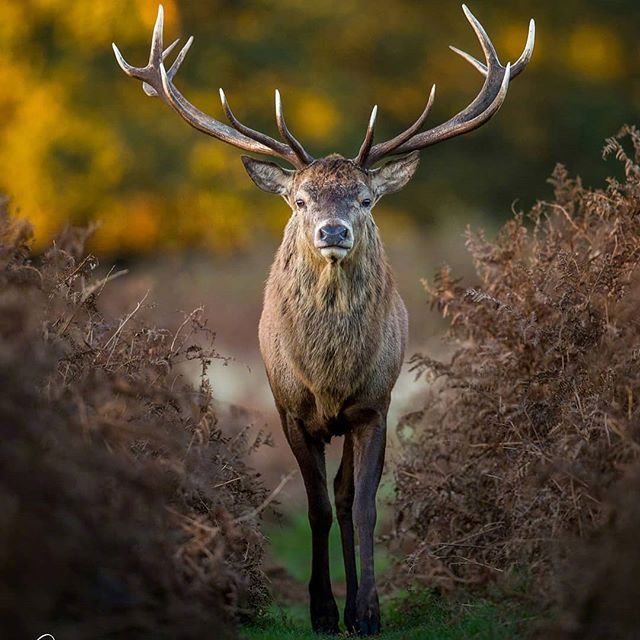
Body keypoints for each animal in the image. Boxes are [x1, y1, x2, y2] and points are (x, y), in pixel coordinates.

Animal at [112, 3, 532, 636]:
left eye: (365, 198)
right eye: (300, 199)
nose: (333, 231)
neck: (329, 378)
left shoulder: (376, 404)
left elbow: (362, 506)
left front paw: (368, 611)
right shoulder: (289, 407)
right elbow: (312, 507)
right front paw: (321, 610)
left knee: (345, 494)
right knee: (329, 497)